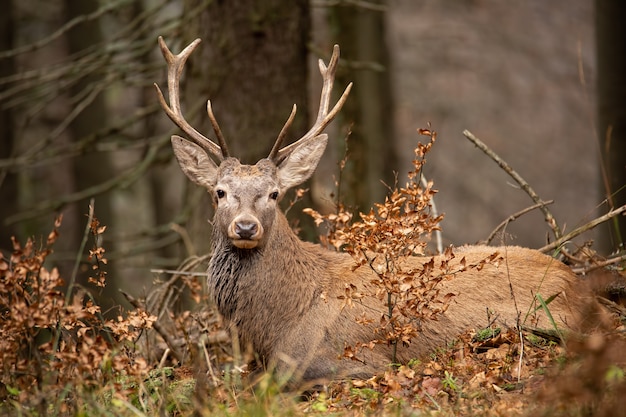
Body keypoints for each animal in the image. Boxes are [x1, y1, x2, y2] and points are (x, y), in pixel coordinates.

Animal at [152, 38, 588, 384]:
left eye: (274, 194)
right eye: (219, 192)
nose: (245, 227)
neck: (278, 324)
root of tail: (581, 288)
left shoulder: (345, 361)